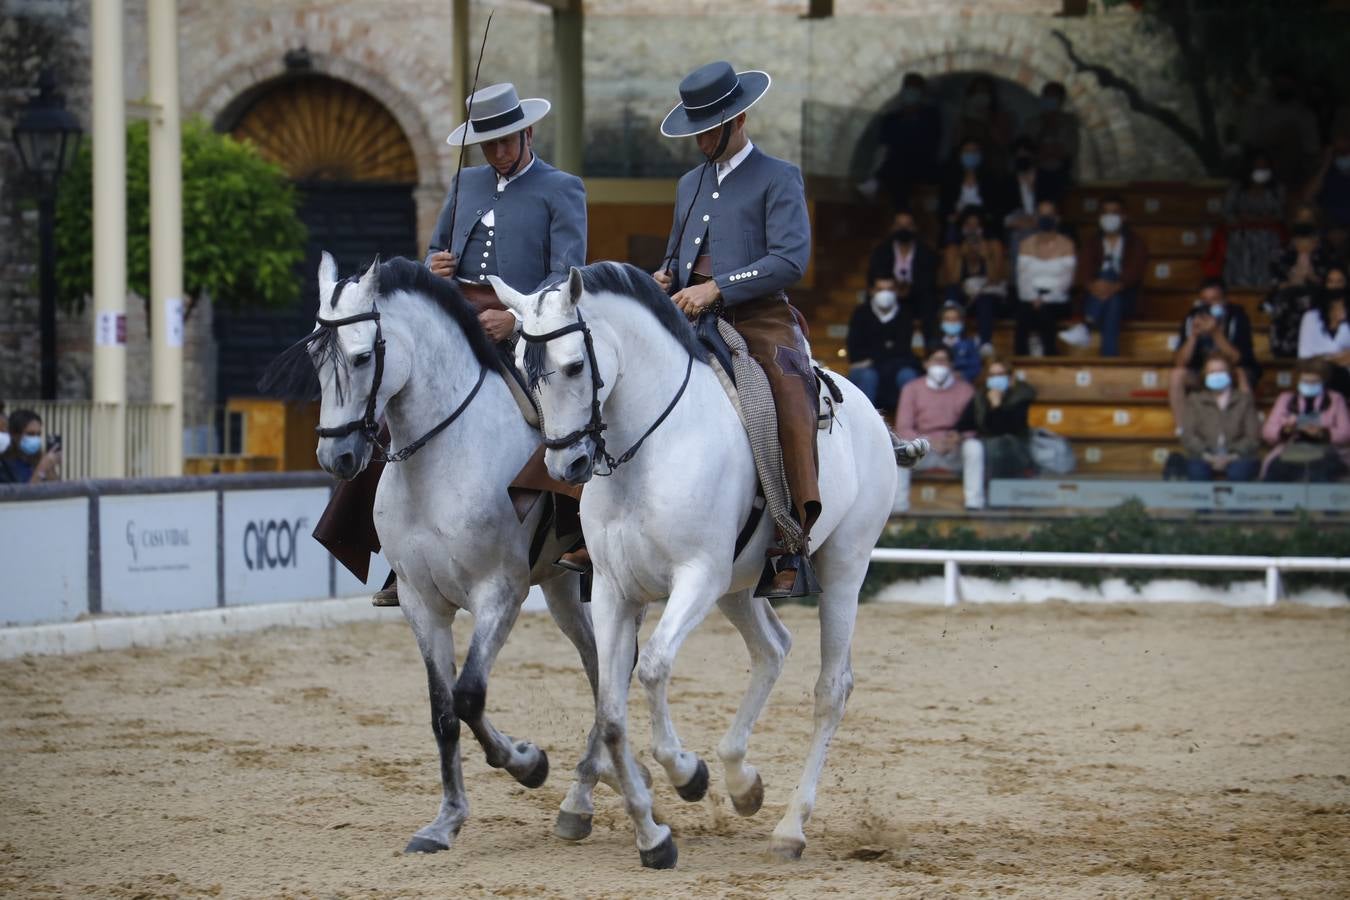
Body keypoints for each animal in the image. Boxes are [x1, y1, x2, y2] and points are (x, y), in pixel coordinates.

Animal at [282, 255, 604, 858]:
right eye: (315, 357)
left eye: (362, 357)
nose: (336, 456)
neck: (442, 457)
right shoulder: (420, 602)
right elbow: (443, 709)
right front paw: (446, 821)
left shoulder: (499, 593)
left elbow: (470, 695)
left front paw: (528, 764)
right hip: (559, 586)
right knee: (599, 664)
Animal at [491, 264, 901, 868]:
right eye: (523, 366)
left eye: (573, 366)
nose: (566, 465)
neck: (649, 448)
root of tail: (870, 412)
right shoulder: (614, 591)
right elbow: (610, 709)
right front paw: (651, 832)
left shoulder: (696, 577)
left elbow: (654, 667)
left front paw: (687, 774)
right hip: (739, 589)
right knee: (772, 650)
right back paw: (743, 784)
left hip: (842, 567)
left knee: (832, 689)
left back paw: (790, 828)